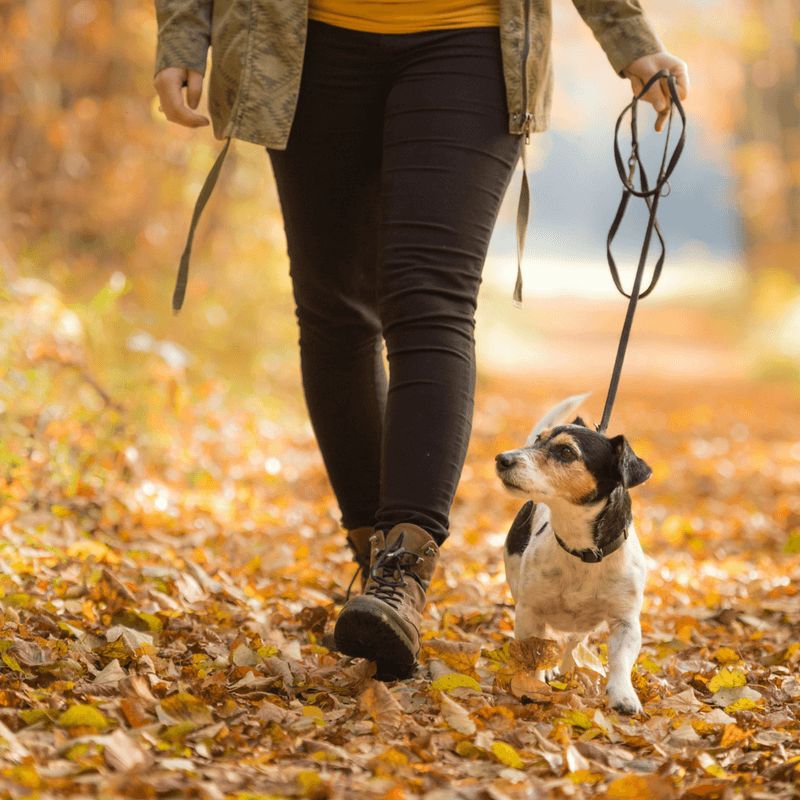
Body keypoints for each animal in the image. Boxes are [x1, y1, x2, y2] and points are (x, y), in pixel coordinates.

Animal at [496, 394, 652, 712]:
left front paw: (623, 695)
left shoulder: (626, 623)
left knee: (574, 642)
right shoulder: (529, 612)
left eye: (566, 452)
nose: (502, 458)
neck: (582, 552)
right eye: (538, 440)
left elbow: (620, 661)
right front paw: (534, 685)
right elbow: (535, 653)